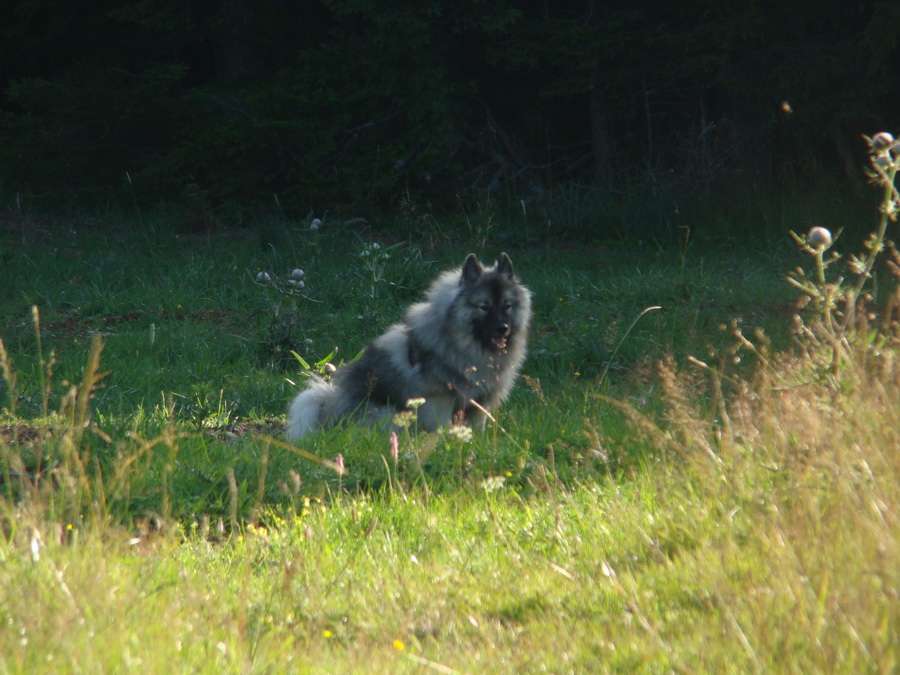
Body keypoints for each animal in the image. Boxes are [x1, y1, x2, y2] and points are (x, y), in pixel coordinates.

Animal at [284, 252, 532, 438]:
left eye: (507, 306)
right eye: (484, 307)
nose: (503, 328)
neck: (462, 343)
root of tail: (327, 415)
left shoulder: (479, 403)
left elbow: (477, 427)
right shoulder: (439, 399)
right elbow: (441, 425)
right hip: (387, 412)